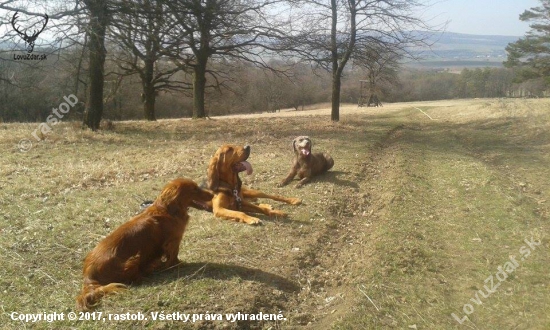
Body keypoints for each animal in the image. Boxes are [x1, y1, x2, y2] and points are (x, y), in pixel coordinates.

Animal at [76, 178, 215, 310]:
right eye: (194, 189)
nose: (213, 194)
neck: (168, 210)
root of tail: (89, 277)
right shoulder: (173, 241)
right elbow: (173, 257)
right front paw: (177, 265)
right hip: (132, 260)